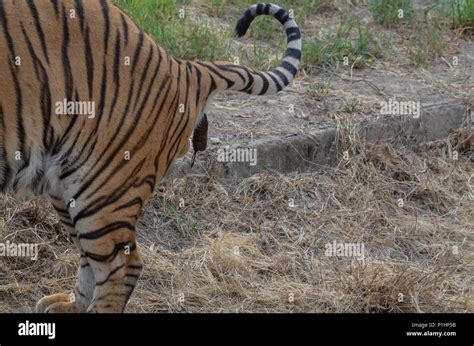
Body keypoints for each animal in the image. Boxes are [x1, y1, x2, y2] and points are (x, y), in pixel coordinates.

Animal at [0, 0, 302, 314]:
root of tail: (184, 67)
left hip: (103, 187)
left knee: (123, 266)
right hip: (66, 188)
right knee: (92, 260)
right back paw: (69, 306)